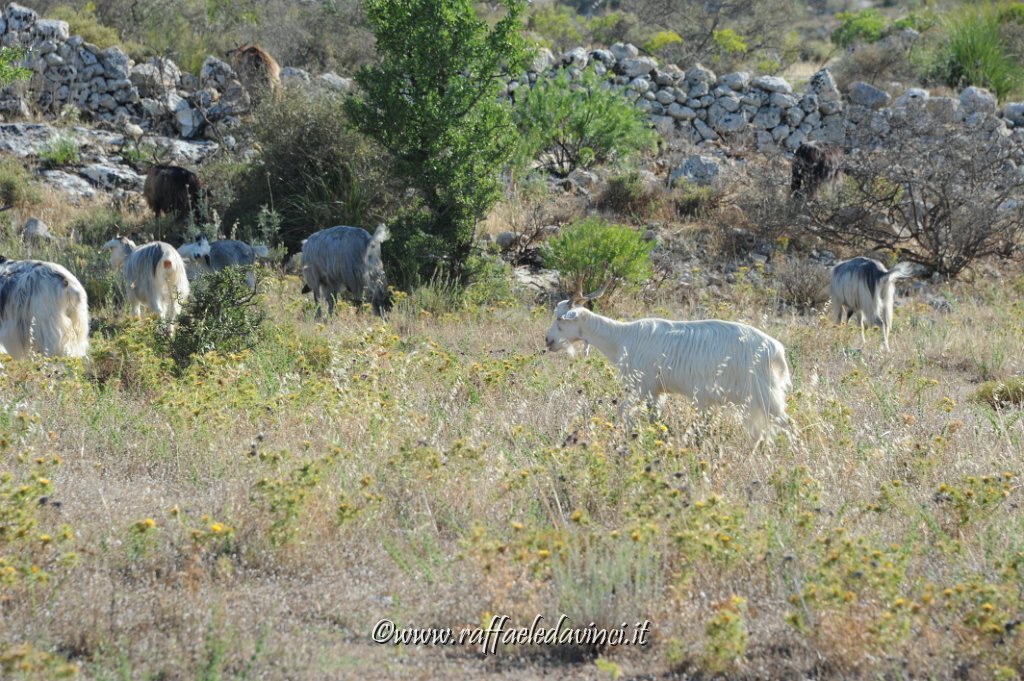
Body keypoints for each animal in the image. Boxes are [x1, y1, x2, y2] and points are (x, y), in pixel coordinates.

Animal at [544, 288, 790, 444]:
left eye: (560, 319)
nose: (548, 340)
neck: (622, 337)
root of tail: (775, 348)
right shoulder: (656, 392)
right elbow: (655, 419)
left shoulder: (641, 386)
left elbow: (624, 411)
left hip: (765, 395)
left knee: (786, 424)